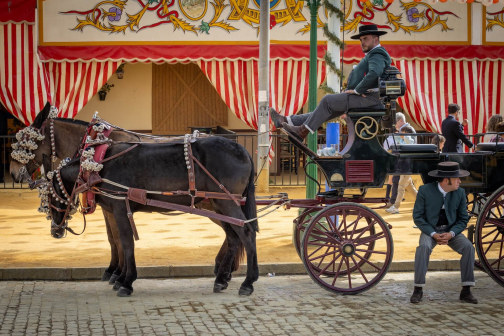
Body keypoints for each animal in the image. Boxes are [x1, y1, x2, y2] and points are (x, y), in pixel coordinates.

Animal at [47, 138, 260, 296]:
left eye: (50, 195)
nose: (55, 230)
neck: (97, 167)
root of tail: (242, 150)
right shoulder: (115, 210)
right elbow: (119, 241)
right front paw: (120, 277)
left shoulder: (119, 207)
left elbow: (126, 242)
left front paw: (126, 281)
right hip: (218, 204)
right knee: (233, 237)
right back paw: (221, 279)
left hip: (227, 202)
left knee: (246, 233)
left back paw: (248, 282)